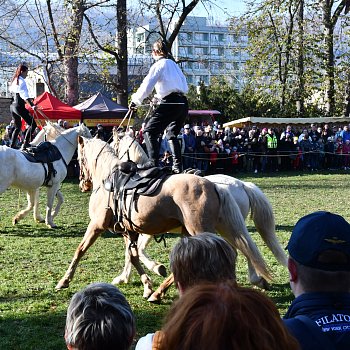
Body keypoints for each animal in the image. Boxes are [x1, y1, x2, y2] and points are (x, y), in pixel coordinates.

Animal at [55, 137, 274, 300]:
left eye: (80, 157)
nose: (82, 184)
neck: (110, 180)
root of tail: (214, 185)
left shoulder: (97, 226)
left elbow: (80, 250)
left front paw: (64, 281)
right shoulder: (129, 231)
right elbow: (133, 256)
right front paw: (145, 284)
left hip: (202, 229)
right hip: (201, 230)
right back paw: (160, 292)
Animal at [110, 133, 288, 300]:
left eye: (114, 145)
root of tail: (242, 184)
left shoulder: (146, 229)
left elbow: (137, 251)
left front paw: (147, 272)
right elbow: (133, 252)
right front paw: (127, 277)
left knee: (242, 249)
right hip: (226, 227)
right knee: (244, 248)